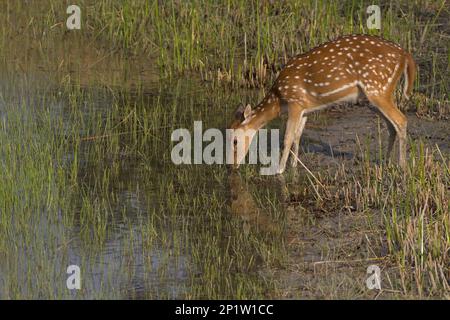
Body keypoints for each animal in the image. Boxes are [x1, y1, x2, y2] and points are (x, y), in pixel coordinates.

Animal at [230, 34, 416, 175]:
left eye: (234, 141)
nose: (232, 165)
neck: (279, 99)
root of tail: (405, 55)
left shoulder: (295, 102)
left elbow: (287, 136)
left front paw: (279, 170)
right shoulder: (305, 108)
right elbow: (298, 136)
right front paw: (293, 166)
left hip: (377, 88)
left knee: (401, 120)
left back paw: (402, 166)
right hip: (376, 95)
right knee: (391, 125)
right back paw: (386, 161)